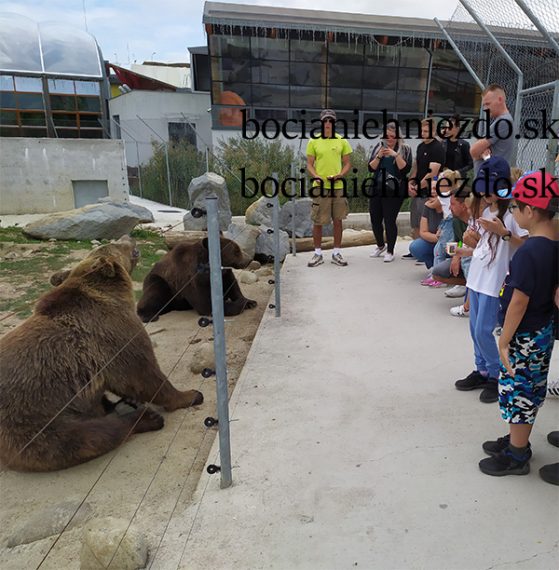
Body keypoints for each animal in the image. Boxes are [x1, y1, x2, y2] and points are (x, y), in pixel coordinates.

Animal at [0, 235, 203, 470]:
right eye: (117, 244)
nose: (129, 236)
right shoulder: (112, 334)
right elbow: (143, 375)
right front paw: (191, 395)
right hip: (35, 419)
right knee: (87, 437)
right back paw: (145, 418)